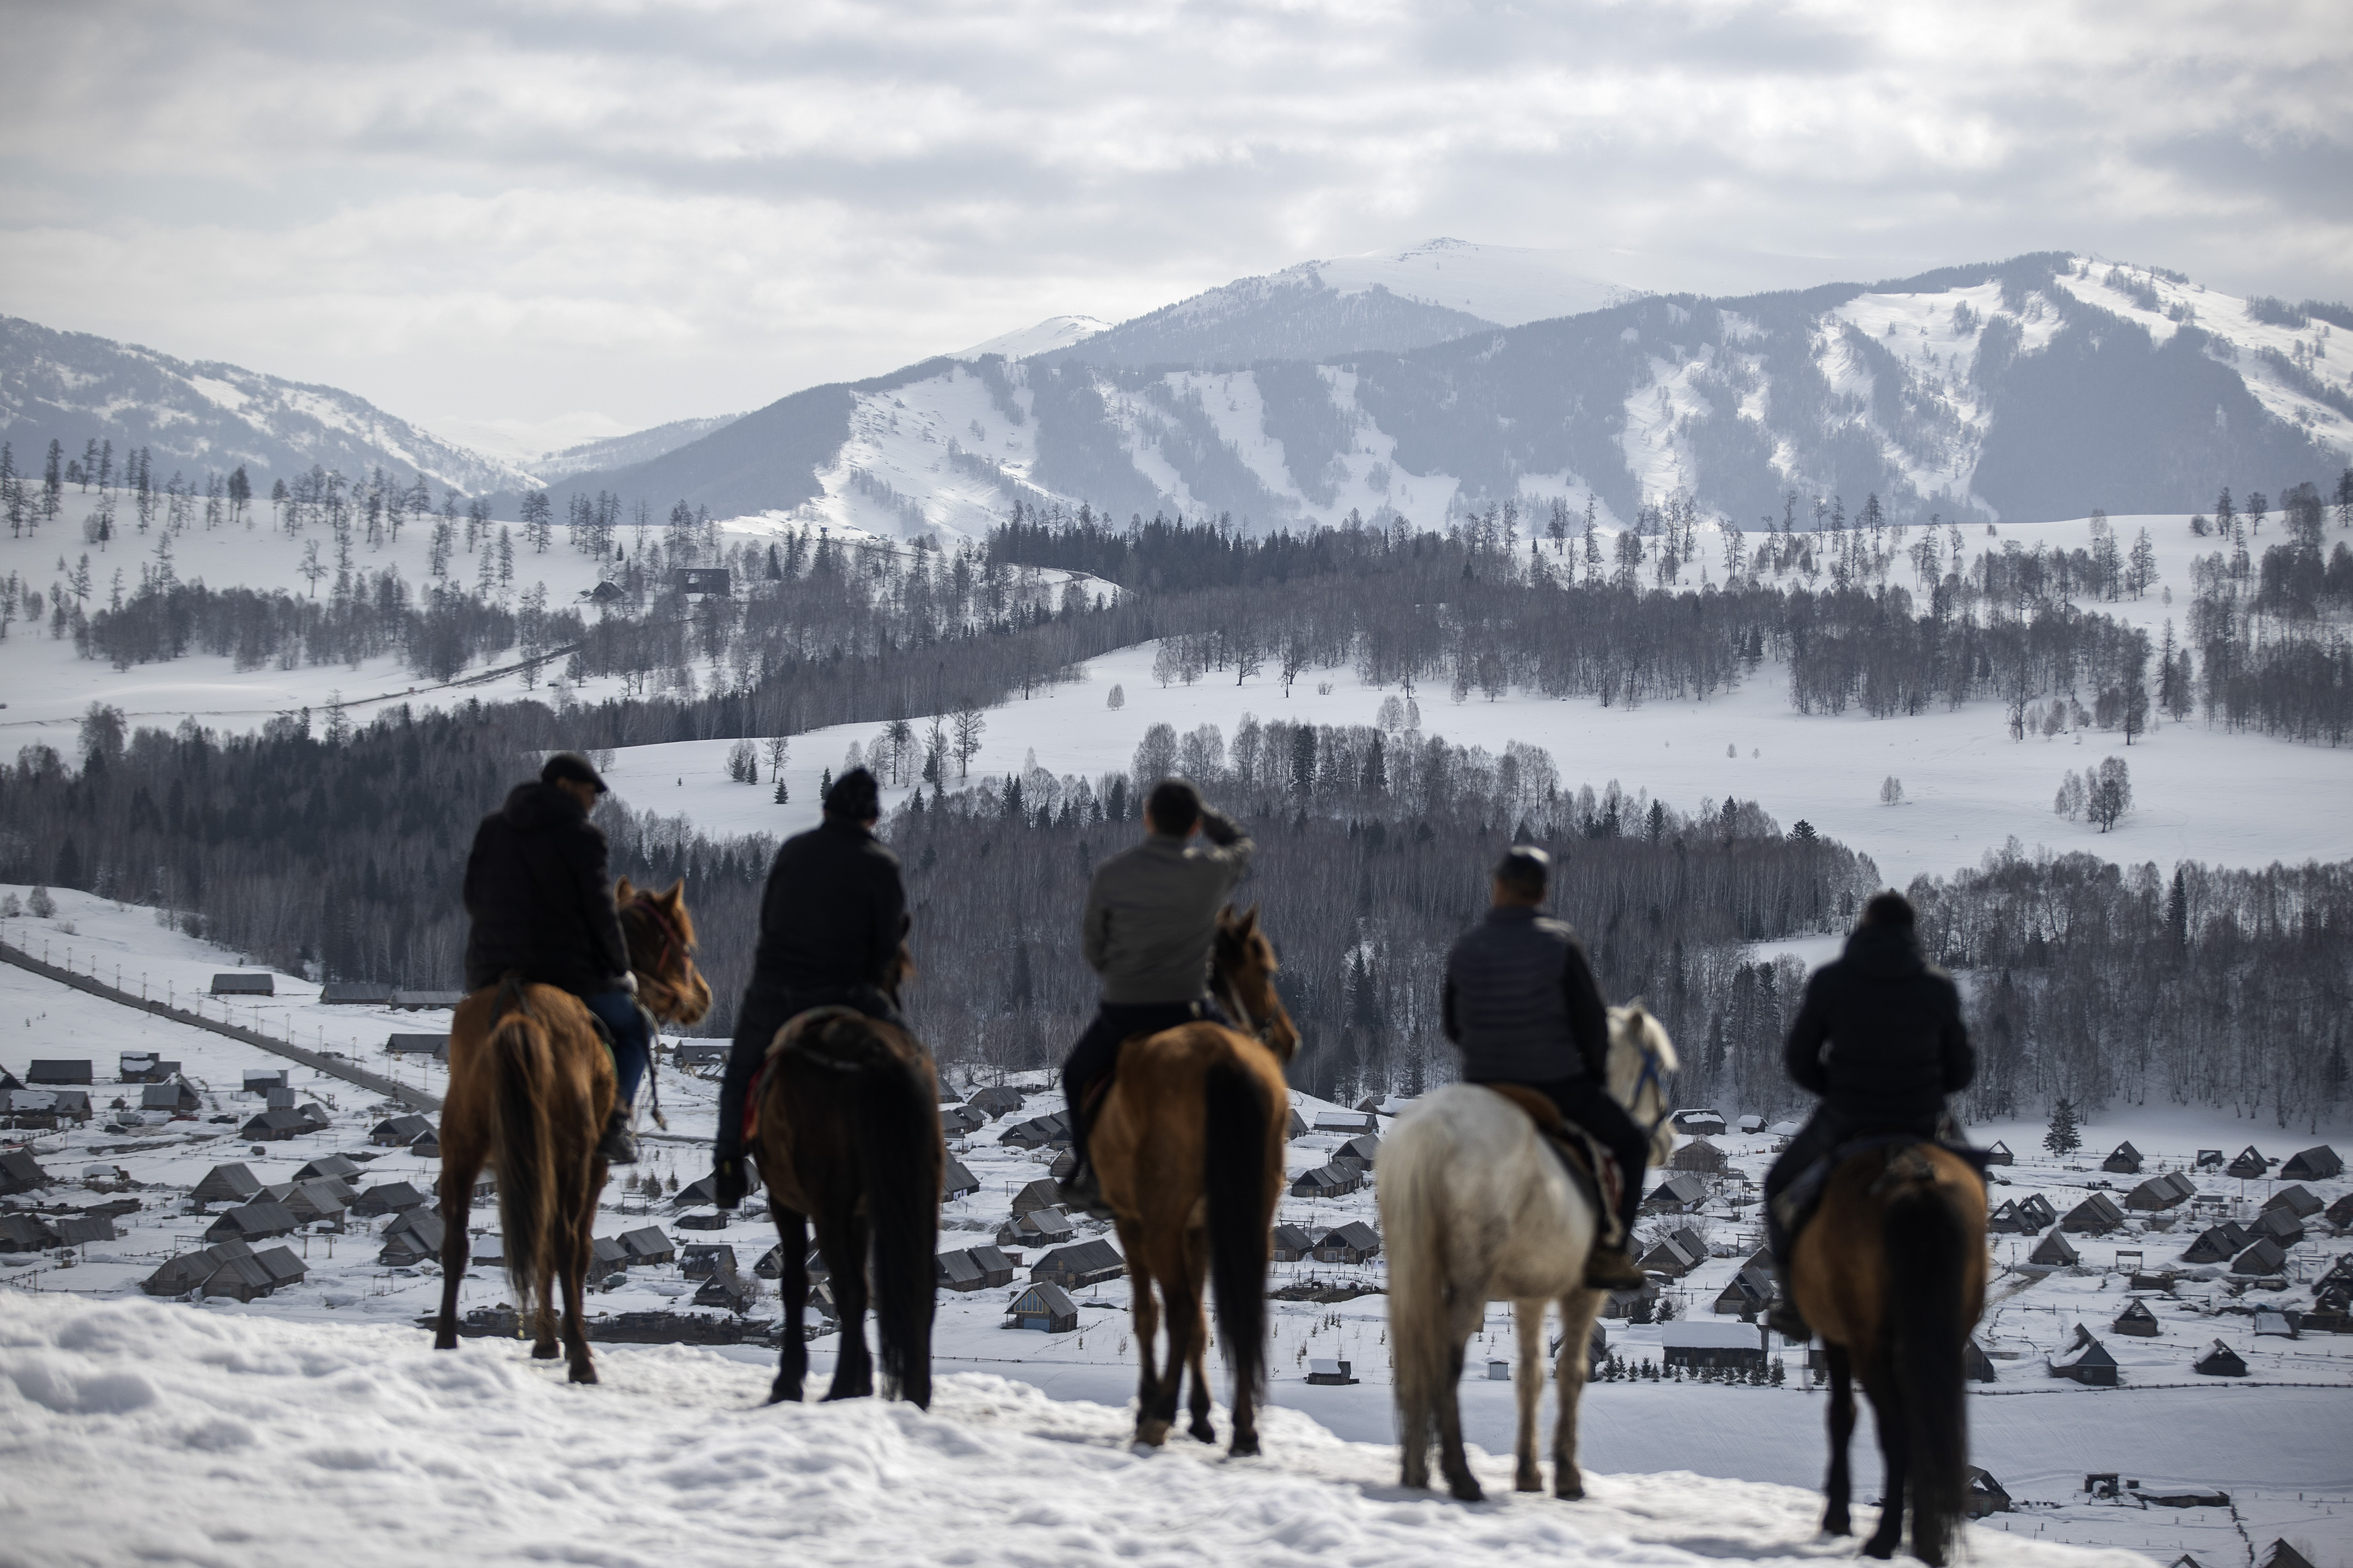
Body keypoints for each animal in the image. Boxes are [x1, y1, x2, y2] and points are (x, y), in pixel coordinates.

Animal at [430, 884, 706, 1382]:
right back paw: (581, 1359)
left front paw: (543, 1341)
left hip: (463, 1147)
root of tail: (517, 1008)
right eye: (684, 945)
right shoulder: (589, 1167)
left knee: (457, 1240)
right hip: (574, 1155)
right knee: (564, 1241)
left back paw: (445, 1344)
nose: (704, 996)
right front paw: (559, 1342)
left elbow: (536, 1244)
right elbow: (575, 1251)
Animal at [753, 968, 936, 1410]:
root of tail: (874, 1052)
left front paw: (789, 1382)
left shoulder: (788, 1202)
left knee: (849, 1289)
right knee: (912, 1288)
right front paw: (863, 1379)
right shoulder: (861, 1213)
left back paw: (837, 1389)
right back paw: (913, 1395)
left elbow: (797, 1283)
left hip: (826, 1207)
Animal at [1087, 907, 1299, 1457]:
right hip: (1251, 1222)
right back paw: (1243, 1429)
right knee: (1238, 1312)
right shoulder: (1200, 1229)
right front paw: (1203, 1414)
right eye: (1264, 970)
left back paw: (1158, 1415)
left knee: (1178, 1308)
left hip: (1160, 1224)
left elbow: (1148, 1313)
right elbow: (1205, 1323)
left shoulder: (1133, 1222)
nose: (1288, 1039)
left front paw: (1157, 1403)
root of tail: (1220, 1058)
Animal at [1374, 1006, 1685, 1504]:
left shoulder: (1530, 1296)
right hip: (1469, 1286)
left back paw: (1416, 1469)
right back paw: (1460, 1474)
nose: (1666, 1140)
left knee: (1416, 1360)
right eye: (1652, 1064)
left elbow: (1529, 1376)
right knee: (1444, 1359)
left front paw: (1528, 1473)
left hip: (1413, 1272)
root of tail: (1434, 1129)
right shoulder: (1583, 1293)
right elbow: (1571, 1373)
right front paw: (1567, 1476)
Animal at [1798, 1142, 1986, 1568]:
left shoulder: (1838, 1336)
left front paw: (1837, 1517)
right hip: (1945, 1336)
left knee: (1895, 1429)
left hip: (1870, 1346)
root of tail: (1916, 1182)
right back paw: (1928, 1542)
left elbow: (1841, 1416)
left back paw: (1885, 1539)